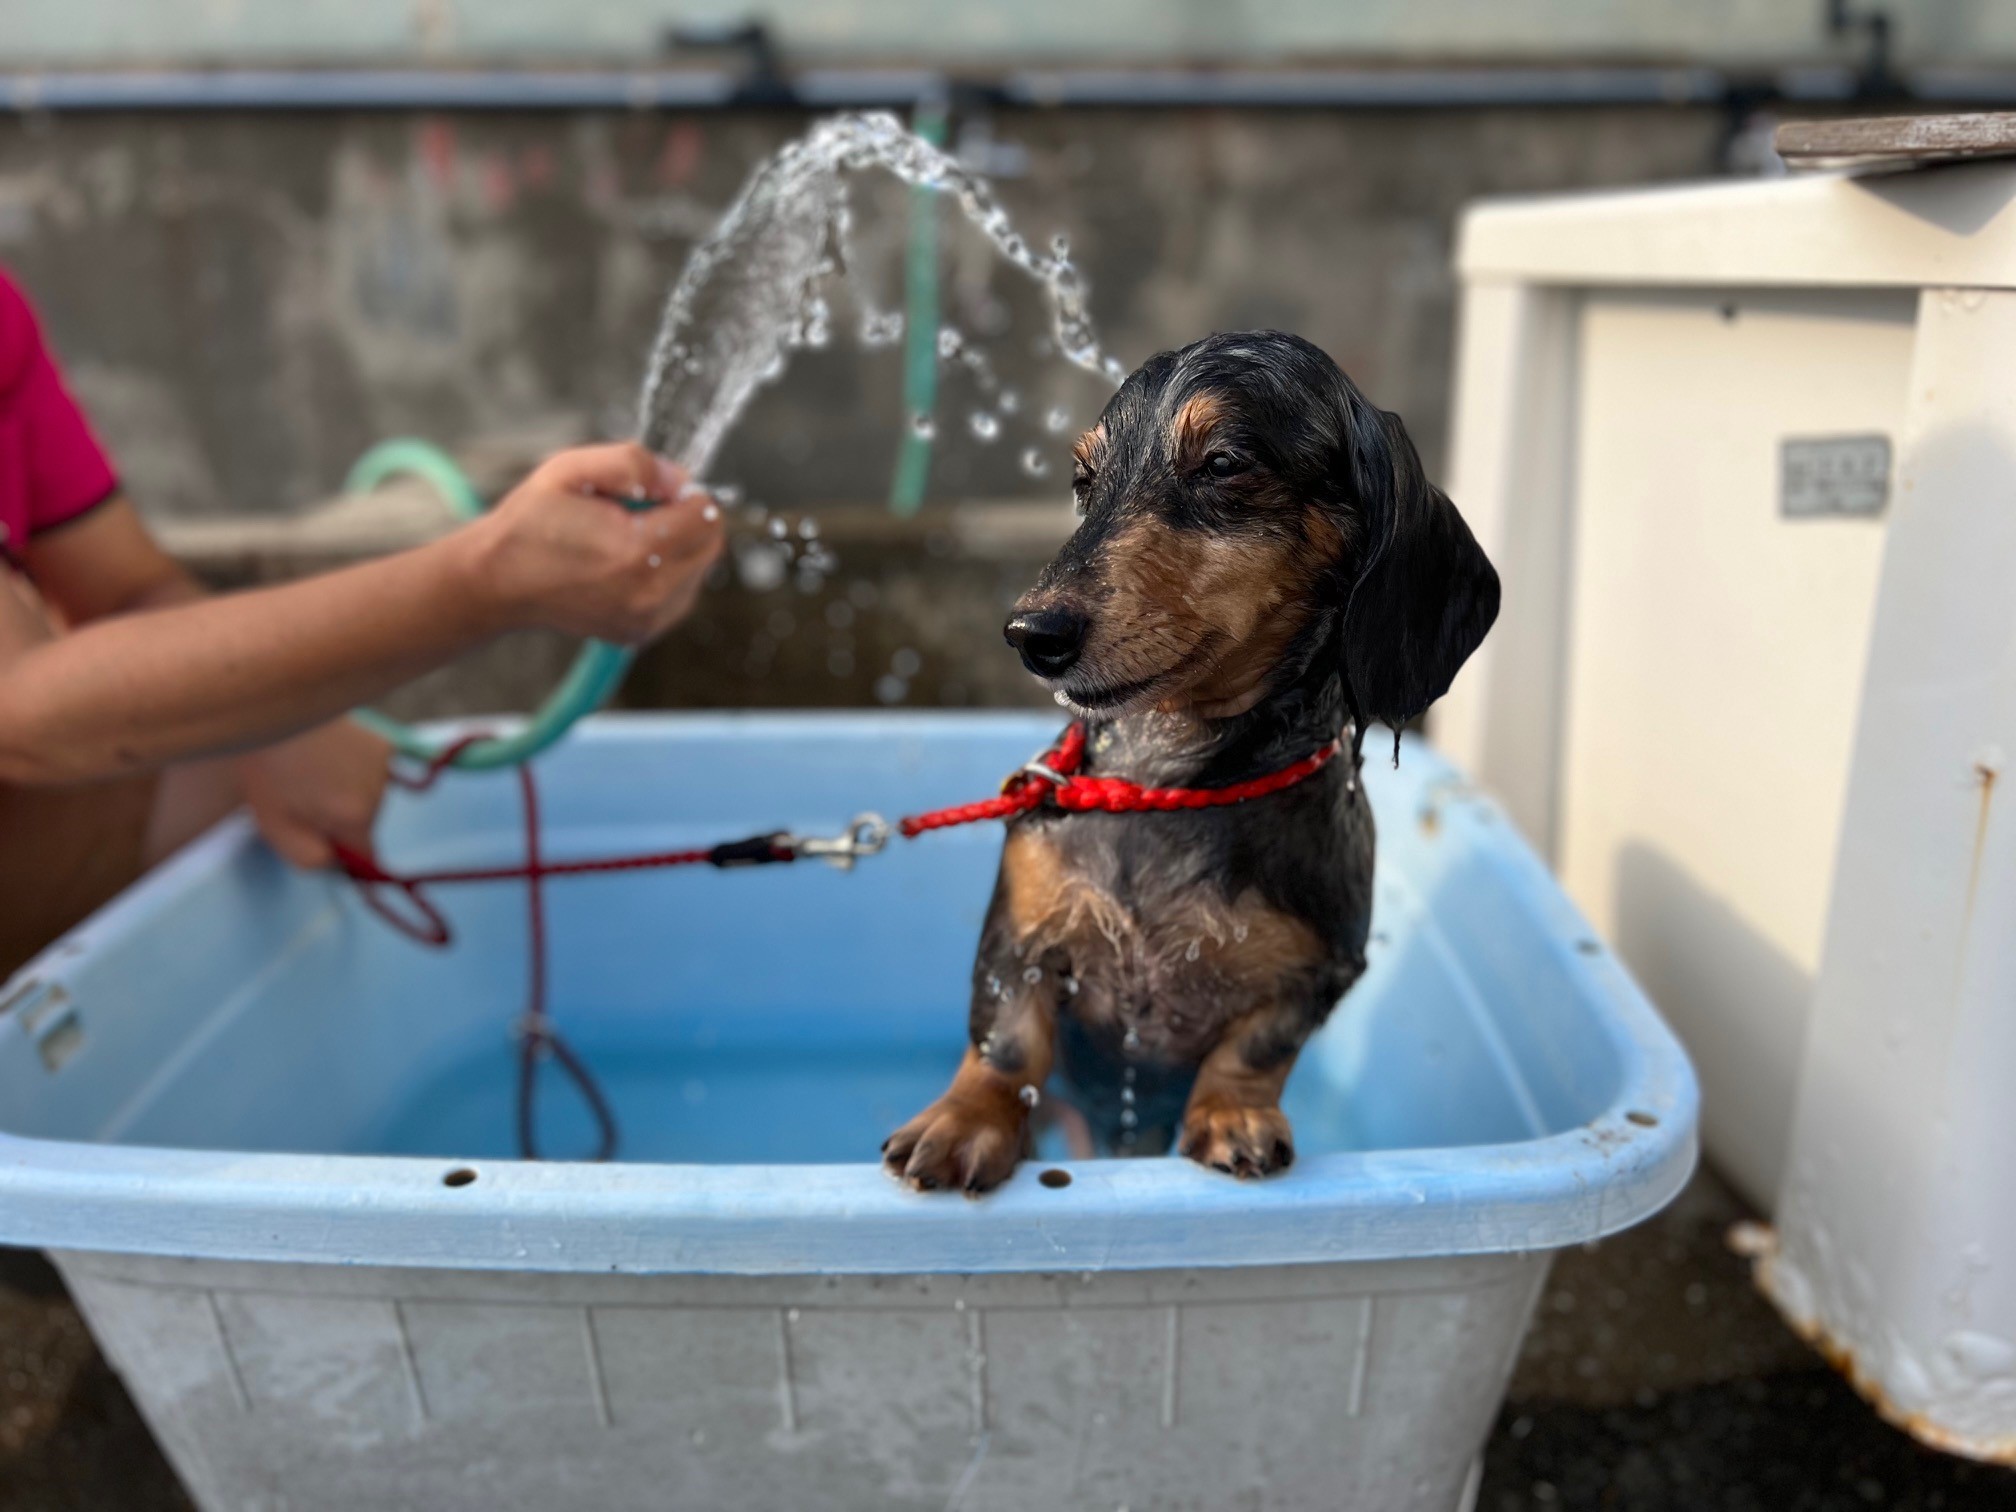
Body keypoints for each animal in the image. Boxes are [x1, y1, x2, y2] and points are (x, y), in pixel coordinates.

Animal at [883, 334, 1499, 1193]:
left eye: (1223, 463)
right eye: (1084, 479)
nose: (1031, 634)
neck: (1161, 785)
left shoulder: (1317, 971)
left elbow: (1256, 1050)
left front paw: (1232, 1114)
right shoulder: (1019, 936)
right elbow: (1005, 1044)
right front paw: (965, 1121)